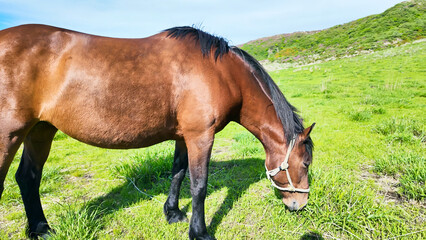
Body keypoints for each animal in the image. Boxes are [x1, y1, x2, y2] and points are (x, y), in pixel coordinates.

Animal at [0, 24, 312, 240]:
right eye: (306, 163)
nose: (300, 204)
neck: (222, 72)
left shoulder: (183, 136)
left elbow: (178, 173)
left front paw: (172, 213)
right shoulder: (201, 136)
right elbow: (199, 185)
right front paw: (200, 232)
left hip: (41, 130)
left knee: (28, 178)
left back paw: (41, 229)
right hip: (11, 134)